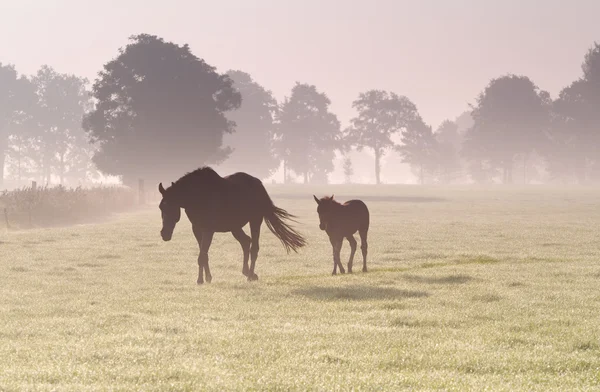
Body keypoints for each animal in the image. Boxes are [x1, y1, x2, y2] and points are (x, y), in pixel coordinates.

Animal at [157, 167, 308, 284]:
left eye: (170, 206)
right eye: (161, 207)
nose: (164, 234)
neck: (198, 196)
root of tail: (259, 184)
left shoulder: (208, 230)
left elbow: (202, 256)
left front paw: (200, 280)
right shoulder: (197, 229)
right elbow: (204, 255)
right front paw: (207, 278)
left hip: (255, 220)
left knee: (254, 247)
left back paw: (250, 275)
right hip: (235, 226)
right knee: (246, 242)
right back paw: (247, 272)